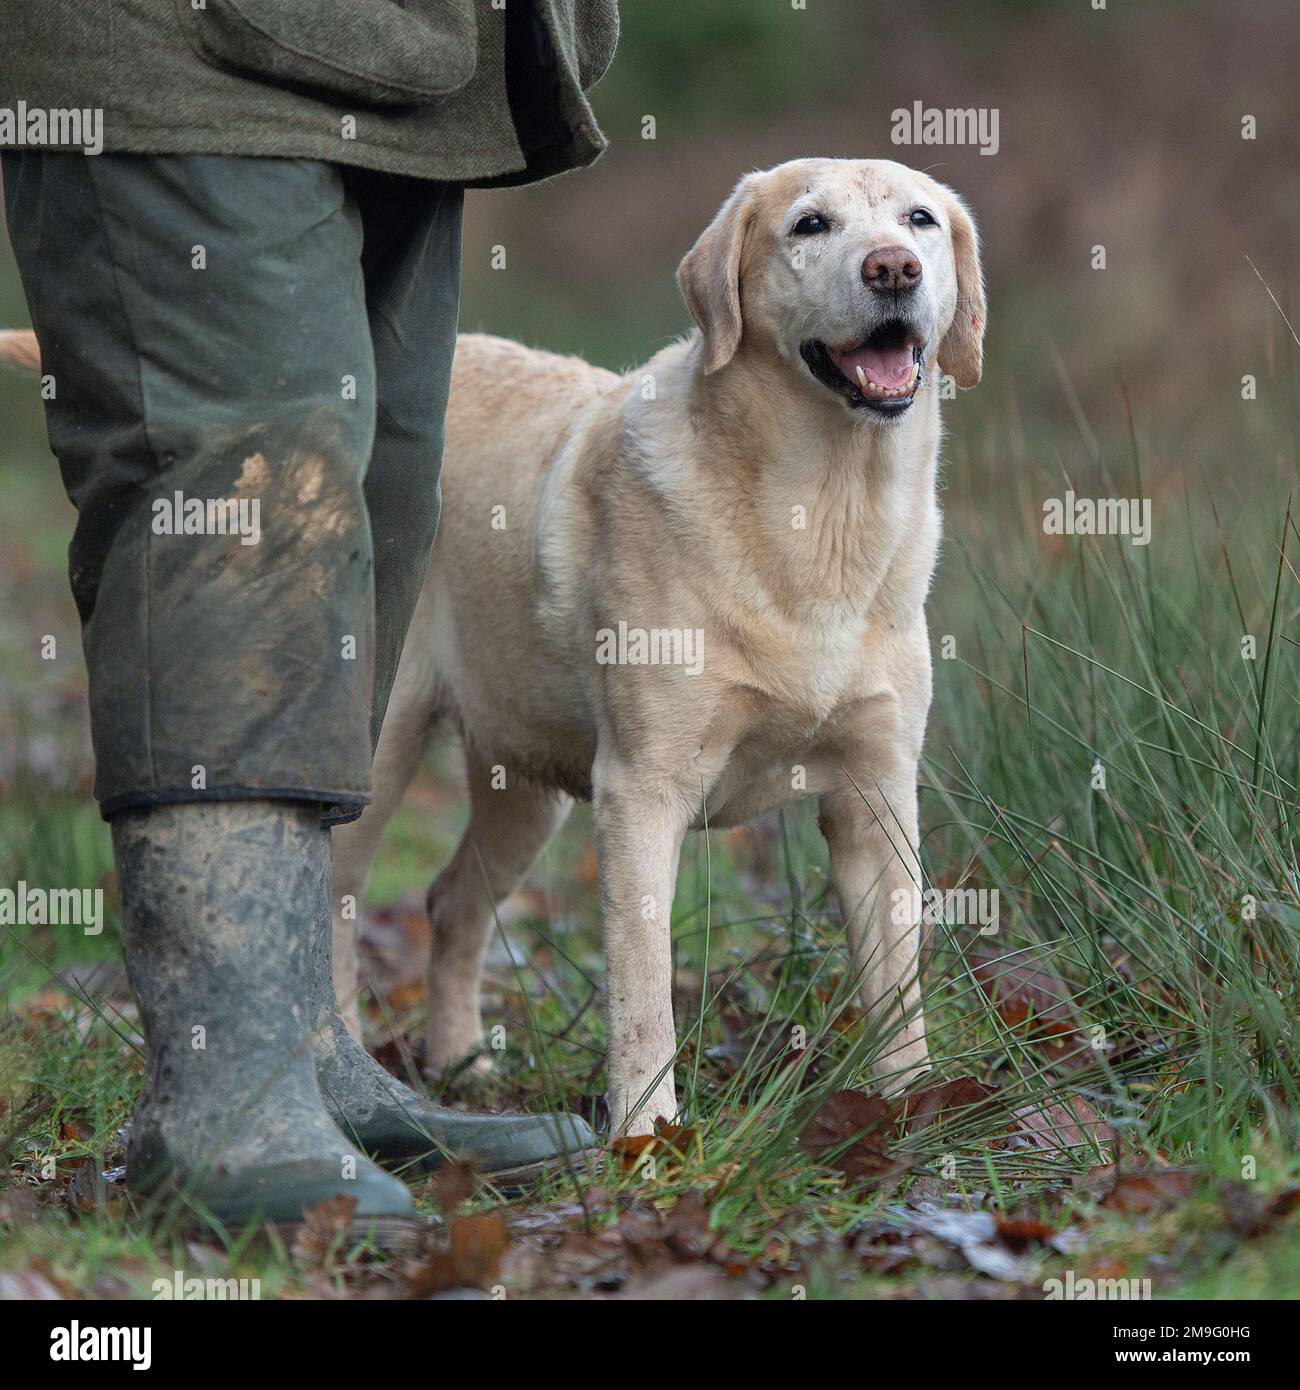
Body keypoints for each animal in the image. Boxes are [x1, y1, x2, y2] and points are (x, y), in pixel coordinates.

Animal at [332, 154, 984, 1128]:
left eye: (920, 221)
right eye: (811, 225)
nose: (893, 269)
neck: (823, 516)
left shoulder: (877, 794)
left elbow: (897, 987)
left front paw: (911, 1108)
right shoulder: (641, 790)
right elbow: (642, 996)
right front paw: (648, 1133)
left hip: (526, 781)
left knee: (451, 902)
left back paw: (461, 1066)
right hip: (376, 754)